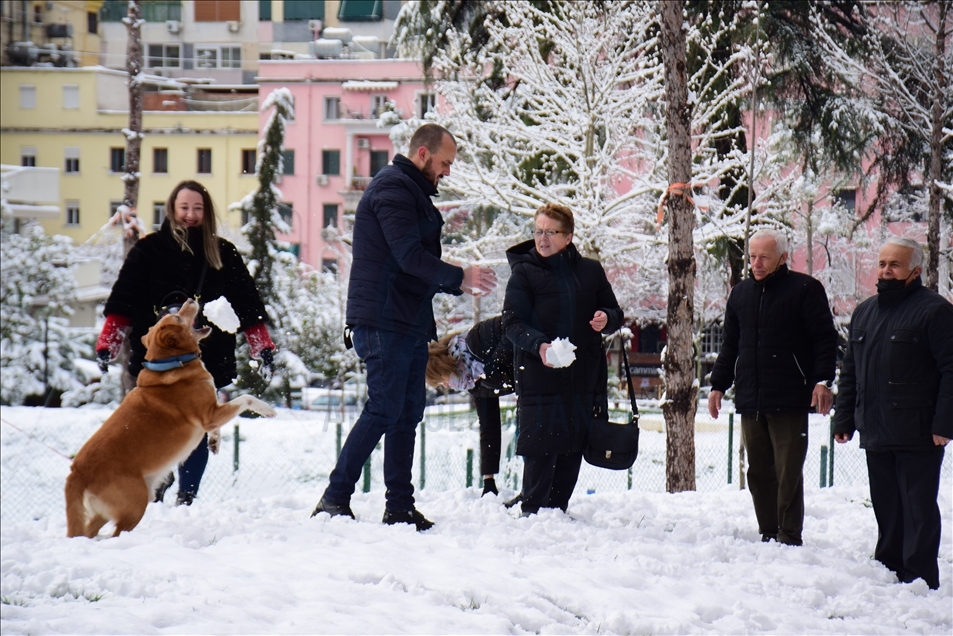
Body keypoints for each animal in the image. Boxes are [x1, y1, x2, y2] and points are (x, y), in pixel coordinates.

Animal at [64, 300, 274, 536]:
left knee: (90, 532)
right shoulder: (210, 413)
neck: (170, 362)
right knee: (116, 533)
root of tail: (77, 471)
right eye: (177, 318)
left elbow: (214, 428)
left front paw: (214, 442)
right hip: (135, 504)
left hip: (108, 510)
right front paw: (267, 409)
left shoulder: (212, 415)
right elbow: (246, 399)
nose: (191, 300)